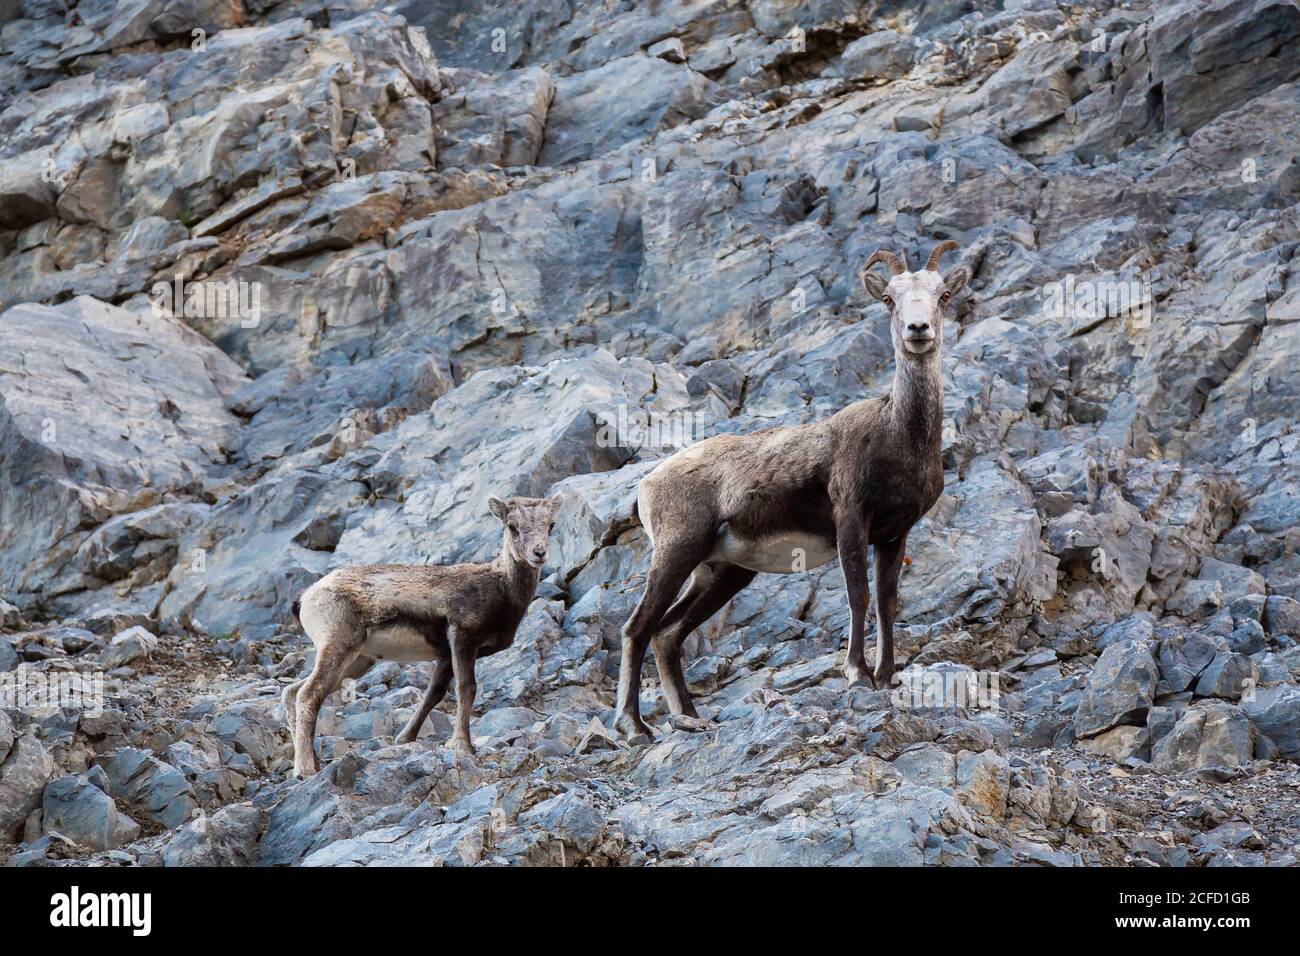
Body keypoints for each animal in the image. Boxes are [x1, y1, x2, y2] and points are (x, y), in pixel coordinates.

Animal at [283, 494, 561, 778]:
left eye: (550, 524)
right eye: (512, 526)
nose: (539, 553)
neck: (500, 589)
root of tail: (307, 597)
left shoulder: (446, 656)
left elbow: (433, 694)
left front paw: (405, 739)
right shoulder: (462, 637)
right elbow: (466, 688)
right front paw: (462, 746)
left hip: (356, 662)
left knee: (292, 692)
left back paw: (312, 761)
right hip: (339, 647)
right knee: (308, 694)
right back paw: (305, 769)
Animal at [612, 241, 968, 739]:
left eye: (944, 295)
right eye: (889, 300)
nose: (919, 330)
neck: (898, 433)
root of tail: (646, 486)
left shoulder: (894, 535)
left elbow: (887, 601)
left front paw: (886, 677)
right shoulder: (851, 520)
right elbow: (858, 594)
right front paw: (857, 675)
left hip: (722, 572)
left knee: (668, 633)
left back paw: (691, 717)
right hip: (676, 551)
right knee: (637, 627)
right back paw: (634, 727)